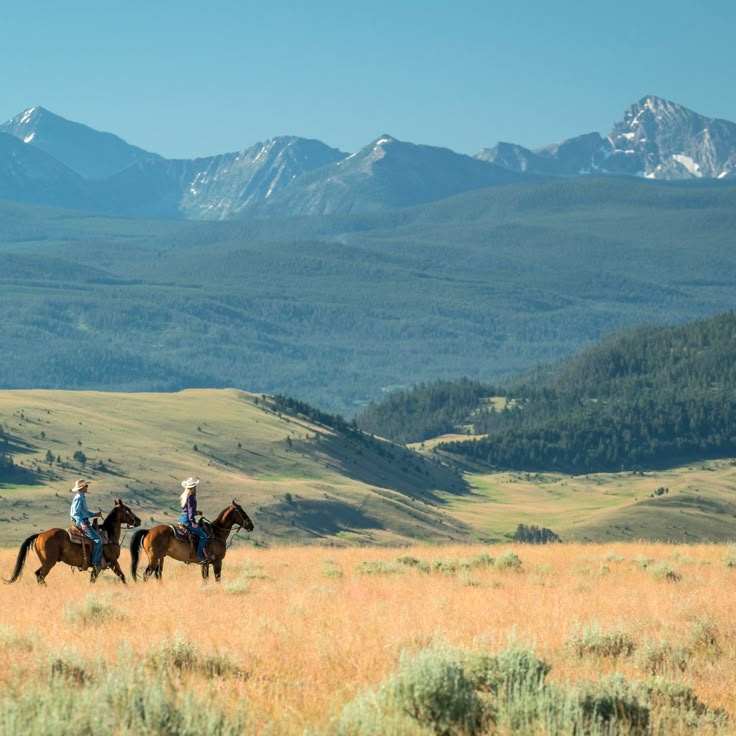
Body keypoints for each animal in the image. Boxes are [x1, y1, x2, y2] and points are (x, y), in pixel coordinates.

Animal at [3, 500, 141, 588]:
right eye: (127, 510)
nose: (138, 521)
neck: (109, 535)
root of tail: (40, 535)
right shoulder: (112, 561)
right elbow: (122, 576)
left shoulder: (100, 567)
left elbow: (93, 579)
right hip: (48, 563)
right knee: (40, 576)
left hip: (46, 562)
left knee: (38, 574)